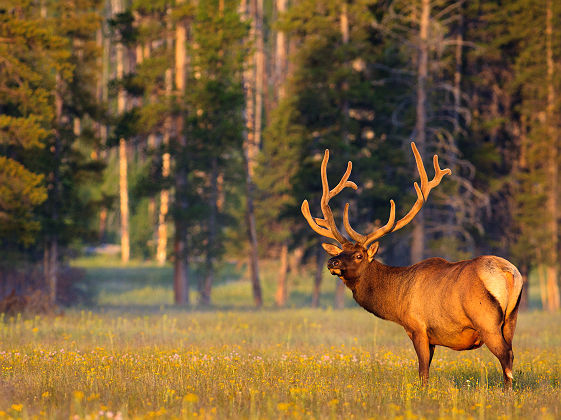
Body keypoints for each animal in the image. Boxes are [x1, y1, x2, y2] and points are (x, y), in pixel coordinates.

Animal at [300, 143, 524, 388]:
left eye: (359, 255)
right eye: (340, 252)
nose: (332, 261)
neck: (397, 301)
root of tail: (509, 272)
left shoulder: (418, 327)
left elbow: (423, 371)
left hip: (487, 321)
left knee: (506, 355)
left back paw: (506, 392)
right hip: (511, 320)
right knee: (511, 351)